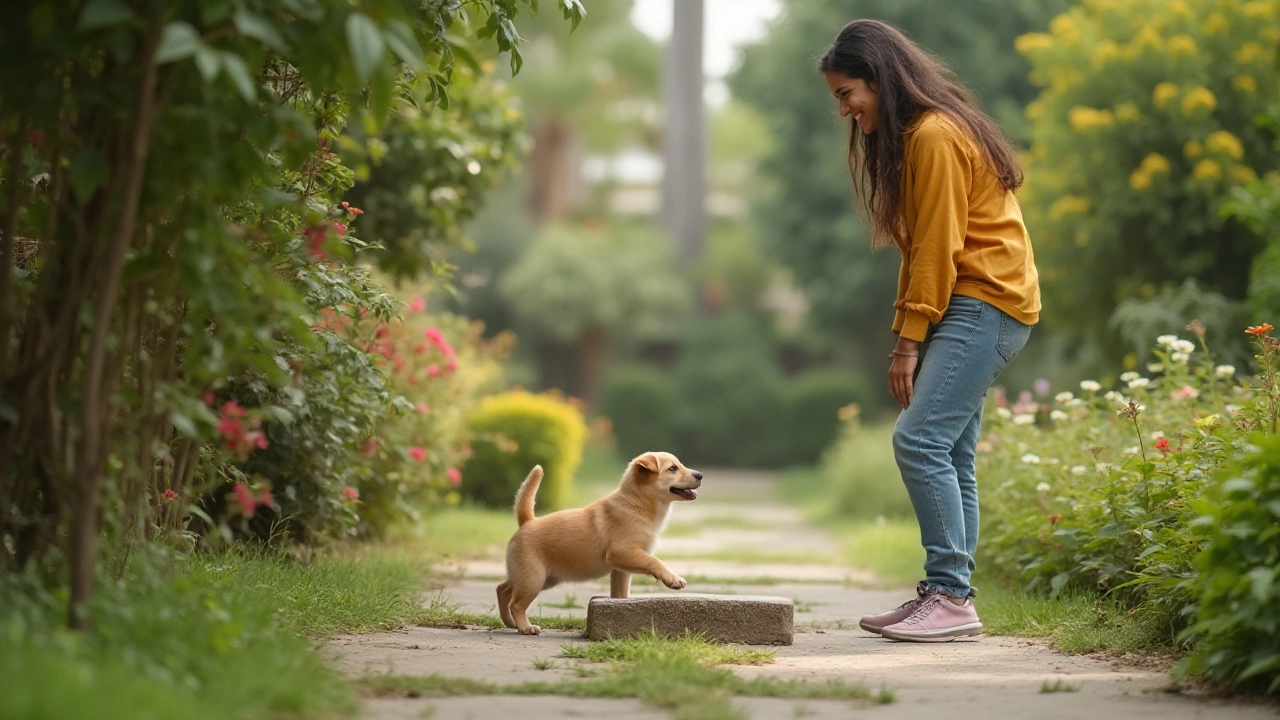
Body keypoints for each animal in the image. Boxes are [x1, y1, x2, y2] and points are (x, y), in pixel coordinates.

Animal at [496, 450, 701, 630]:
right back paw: (525, 627)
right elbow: (654, 561)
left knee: (503, 589)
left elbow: (620, 593)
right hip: (534, 578)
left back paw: (510, 622)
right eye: (672, 468)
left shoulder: (621, 569)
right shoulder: (622, 552)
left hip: (540, 577)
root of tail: (527, 522)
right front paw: (672, 579)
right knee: (516, 603)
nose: (700, 475)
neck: (637, 503)